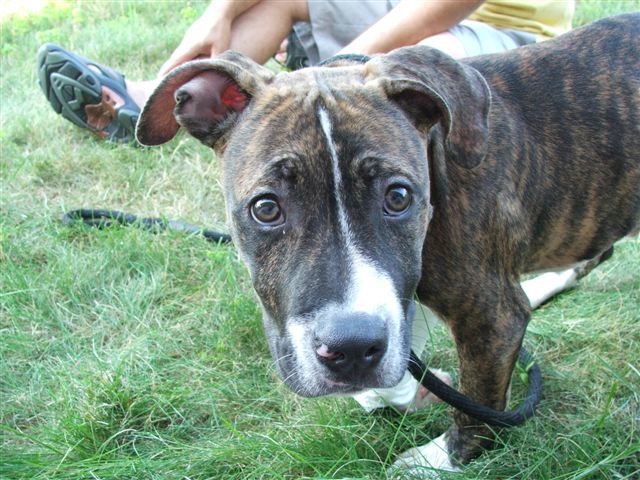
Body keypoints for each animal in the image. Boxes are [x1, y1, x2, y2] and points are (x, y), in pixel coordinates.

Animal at [135, 13, 639, 474]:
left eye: (398, 197)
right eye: (265, 208)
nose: (352, 348)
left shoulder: (491, 317)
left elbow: (480, 404)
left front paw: (440, 459)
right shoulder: (400, 297)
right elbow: (393, 363)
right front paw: (410, 390)